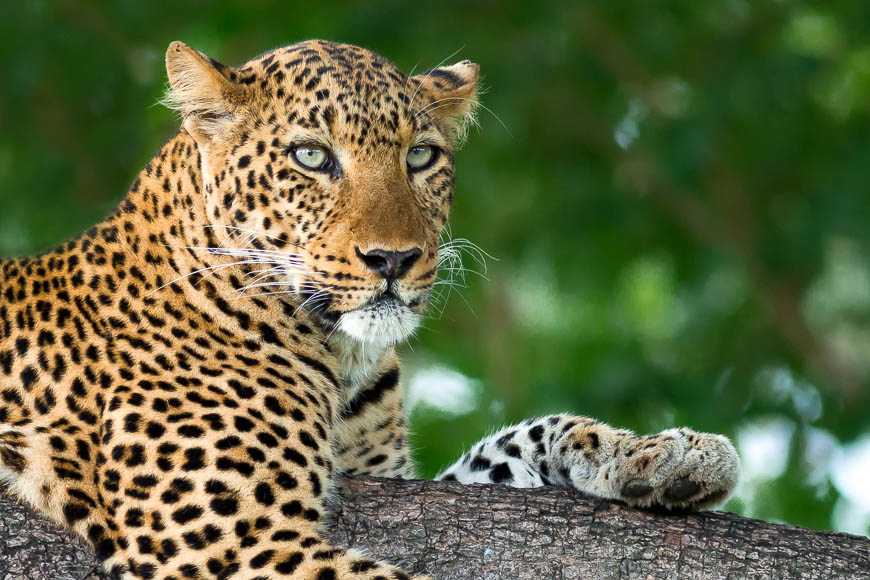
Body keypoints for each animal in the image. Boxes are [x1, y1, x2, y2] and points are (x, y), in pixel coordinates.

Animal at [0, 39, 740, 579]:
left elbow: (518, 440)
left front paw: (660, 453)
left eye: (420, 156)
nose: (394, 259)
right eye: (310, 156)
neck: (342, 354)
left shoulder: (389, 479)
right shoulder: (224, 540)